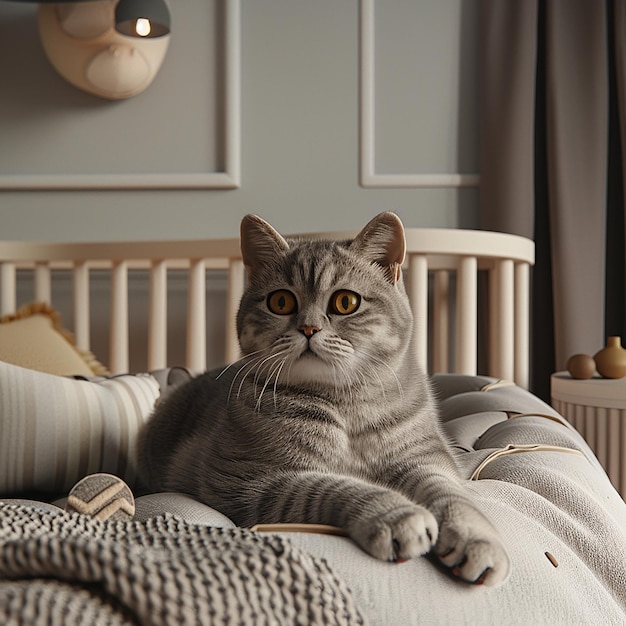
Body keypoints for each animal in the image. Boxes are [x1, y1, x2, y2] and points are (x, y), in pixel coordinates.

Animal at [139, 212, 510, 584]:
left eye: (346, 302)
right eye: (281, 302)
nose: (309, 328)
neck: (344, 404)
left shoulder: (426, 457)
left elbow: (448, 493)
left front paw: (476, 537)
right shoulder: (243, 480)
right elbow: (331, 486)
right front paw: (396, 514)